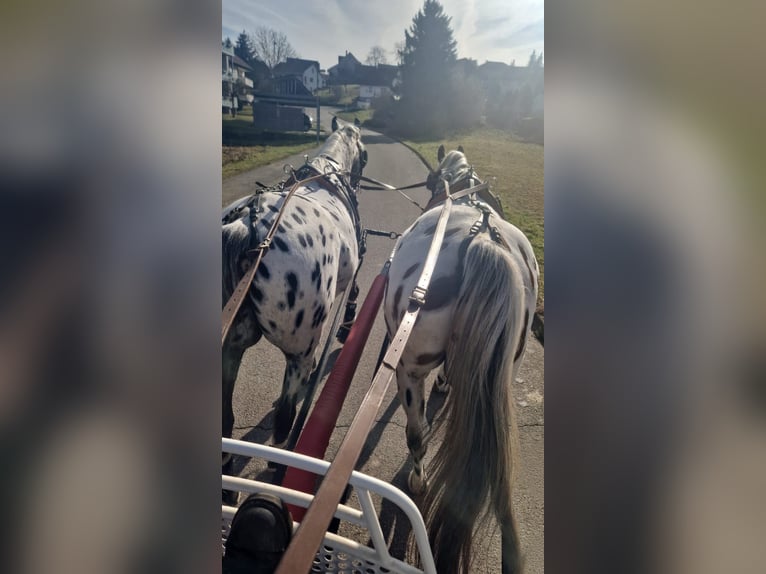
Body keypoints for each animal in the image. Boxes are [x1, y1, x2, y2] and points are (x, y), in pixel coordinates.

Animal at [222, 124, 367, 491]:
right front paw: (347, 324)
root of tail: (247, 223)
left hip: (231, 346)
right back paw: (279, 466)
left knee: (225, 418)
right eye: (364, 154)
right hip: (296, 351)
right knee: (285, 421)